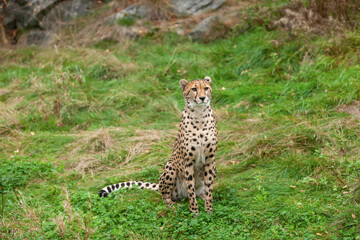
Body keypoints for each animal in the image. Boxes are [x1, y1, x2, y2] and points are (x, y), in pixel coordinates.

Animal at [98, 76, 217, 215]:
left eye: (206, 88)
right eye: (194, 89)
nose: (202, 98)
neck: (200, 115)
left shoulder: (210, 159)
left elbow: (209, 188)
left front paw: (209, 211)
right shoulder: (188, 161)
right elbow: (191, 190)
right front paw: (195, 213)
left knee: (200, 191)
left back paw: (202, 195)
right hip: (170, 167)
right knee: (167, 196)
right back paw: (173, 205)